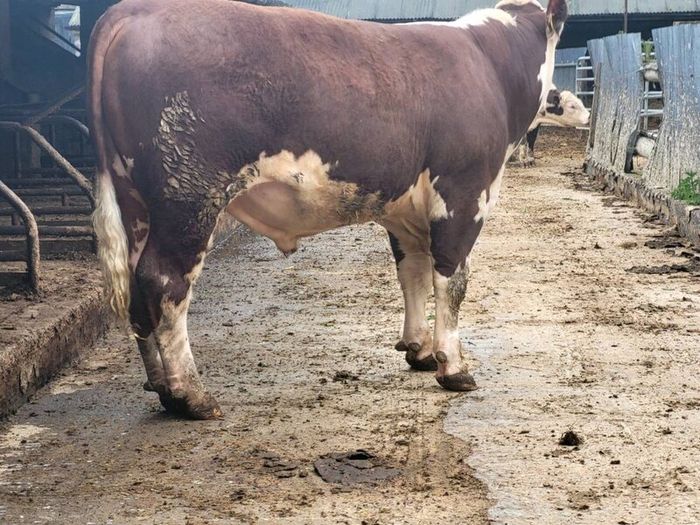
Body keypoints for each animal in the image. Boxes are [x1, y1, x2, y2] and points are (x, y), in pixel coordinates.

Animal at [88, 0, 568, 419]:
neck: (491, 64)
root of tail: (133, 9)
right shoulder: (463, 193)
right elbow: (452, 280)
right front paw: (453, 366)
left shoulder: (404, 210)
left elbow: (411, 273)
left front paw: (419, 350)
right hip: (188, 195)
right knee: (164, 282)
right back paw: (191, 395)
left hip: (137, 204)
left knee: (136, 285)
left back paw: (161, 387)